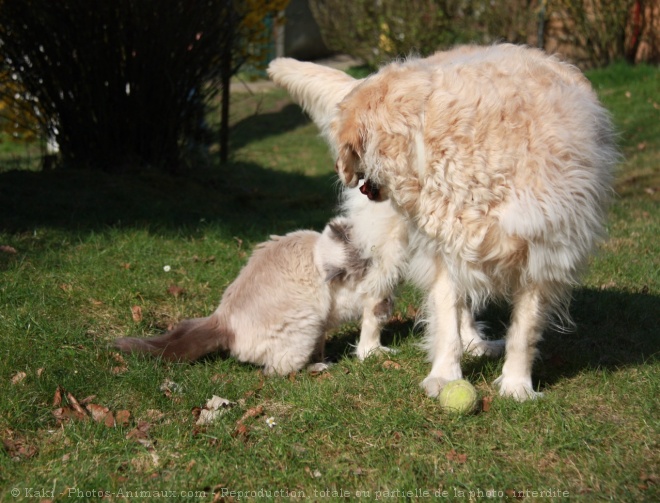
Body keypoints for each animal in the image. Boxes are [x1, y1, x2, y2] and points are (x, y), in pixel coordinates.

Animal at [266, 44, 616, 402]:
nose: (344, 173)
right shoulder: (444, 251)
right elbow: (447, 325)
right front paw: (446, 378)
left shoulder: (544, 254)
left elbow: (523, 332)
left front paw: (517, 386)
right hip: (391, 250)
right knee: (374, 300)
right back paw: (370, 350)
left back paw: (476, 343)